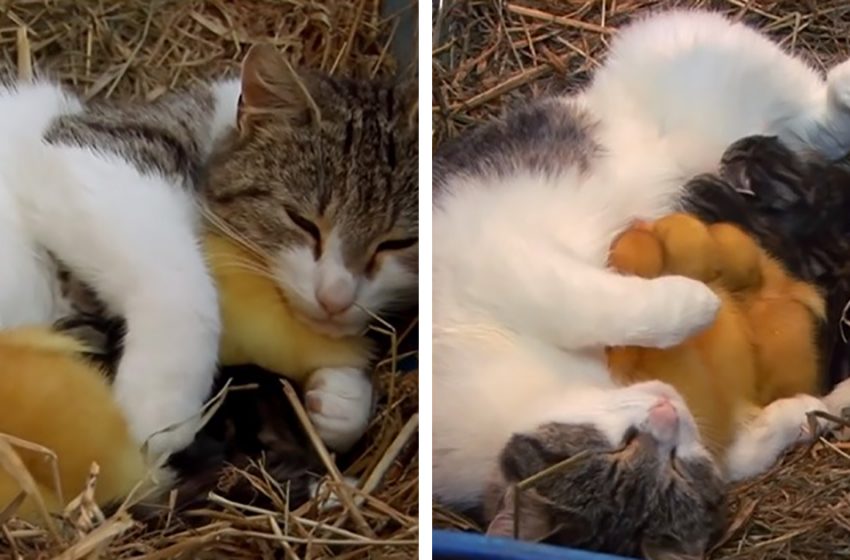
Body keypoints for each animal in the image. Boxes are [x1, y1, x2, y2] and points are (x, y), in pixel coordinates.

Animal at [0, 46, 418, 460]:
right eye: (302, 222)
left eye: (397, 243)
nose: (336, 297)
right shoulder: (91, 149)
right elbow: (179, 282)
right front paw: (161, 408)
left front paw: (344, 397)